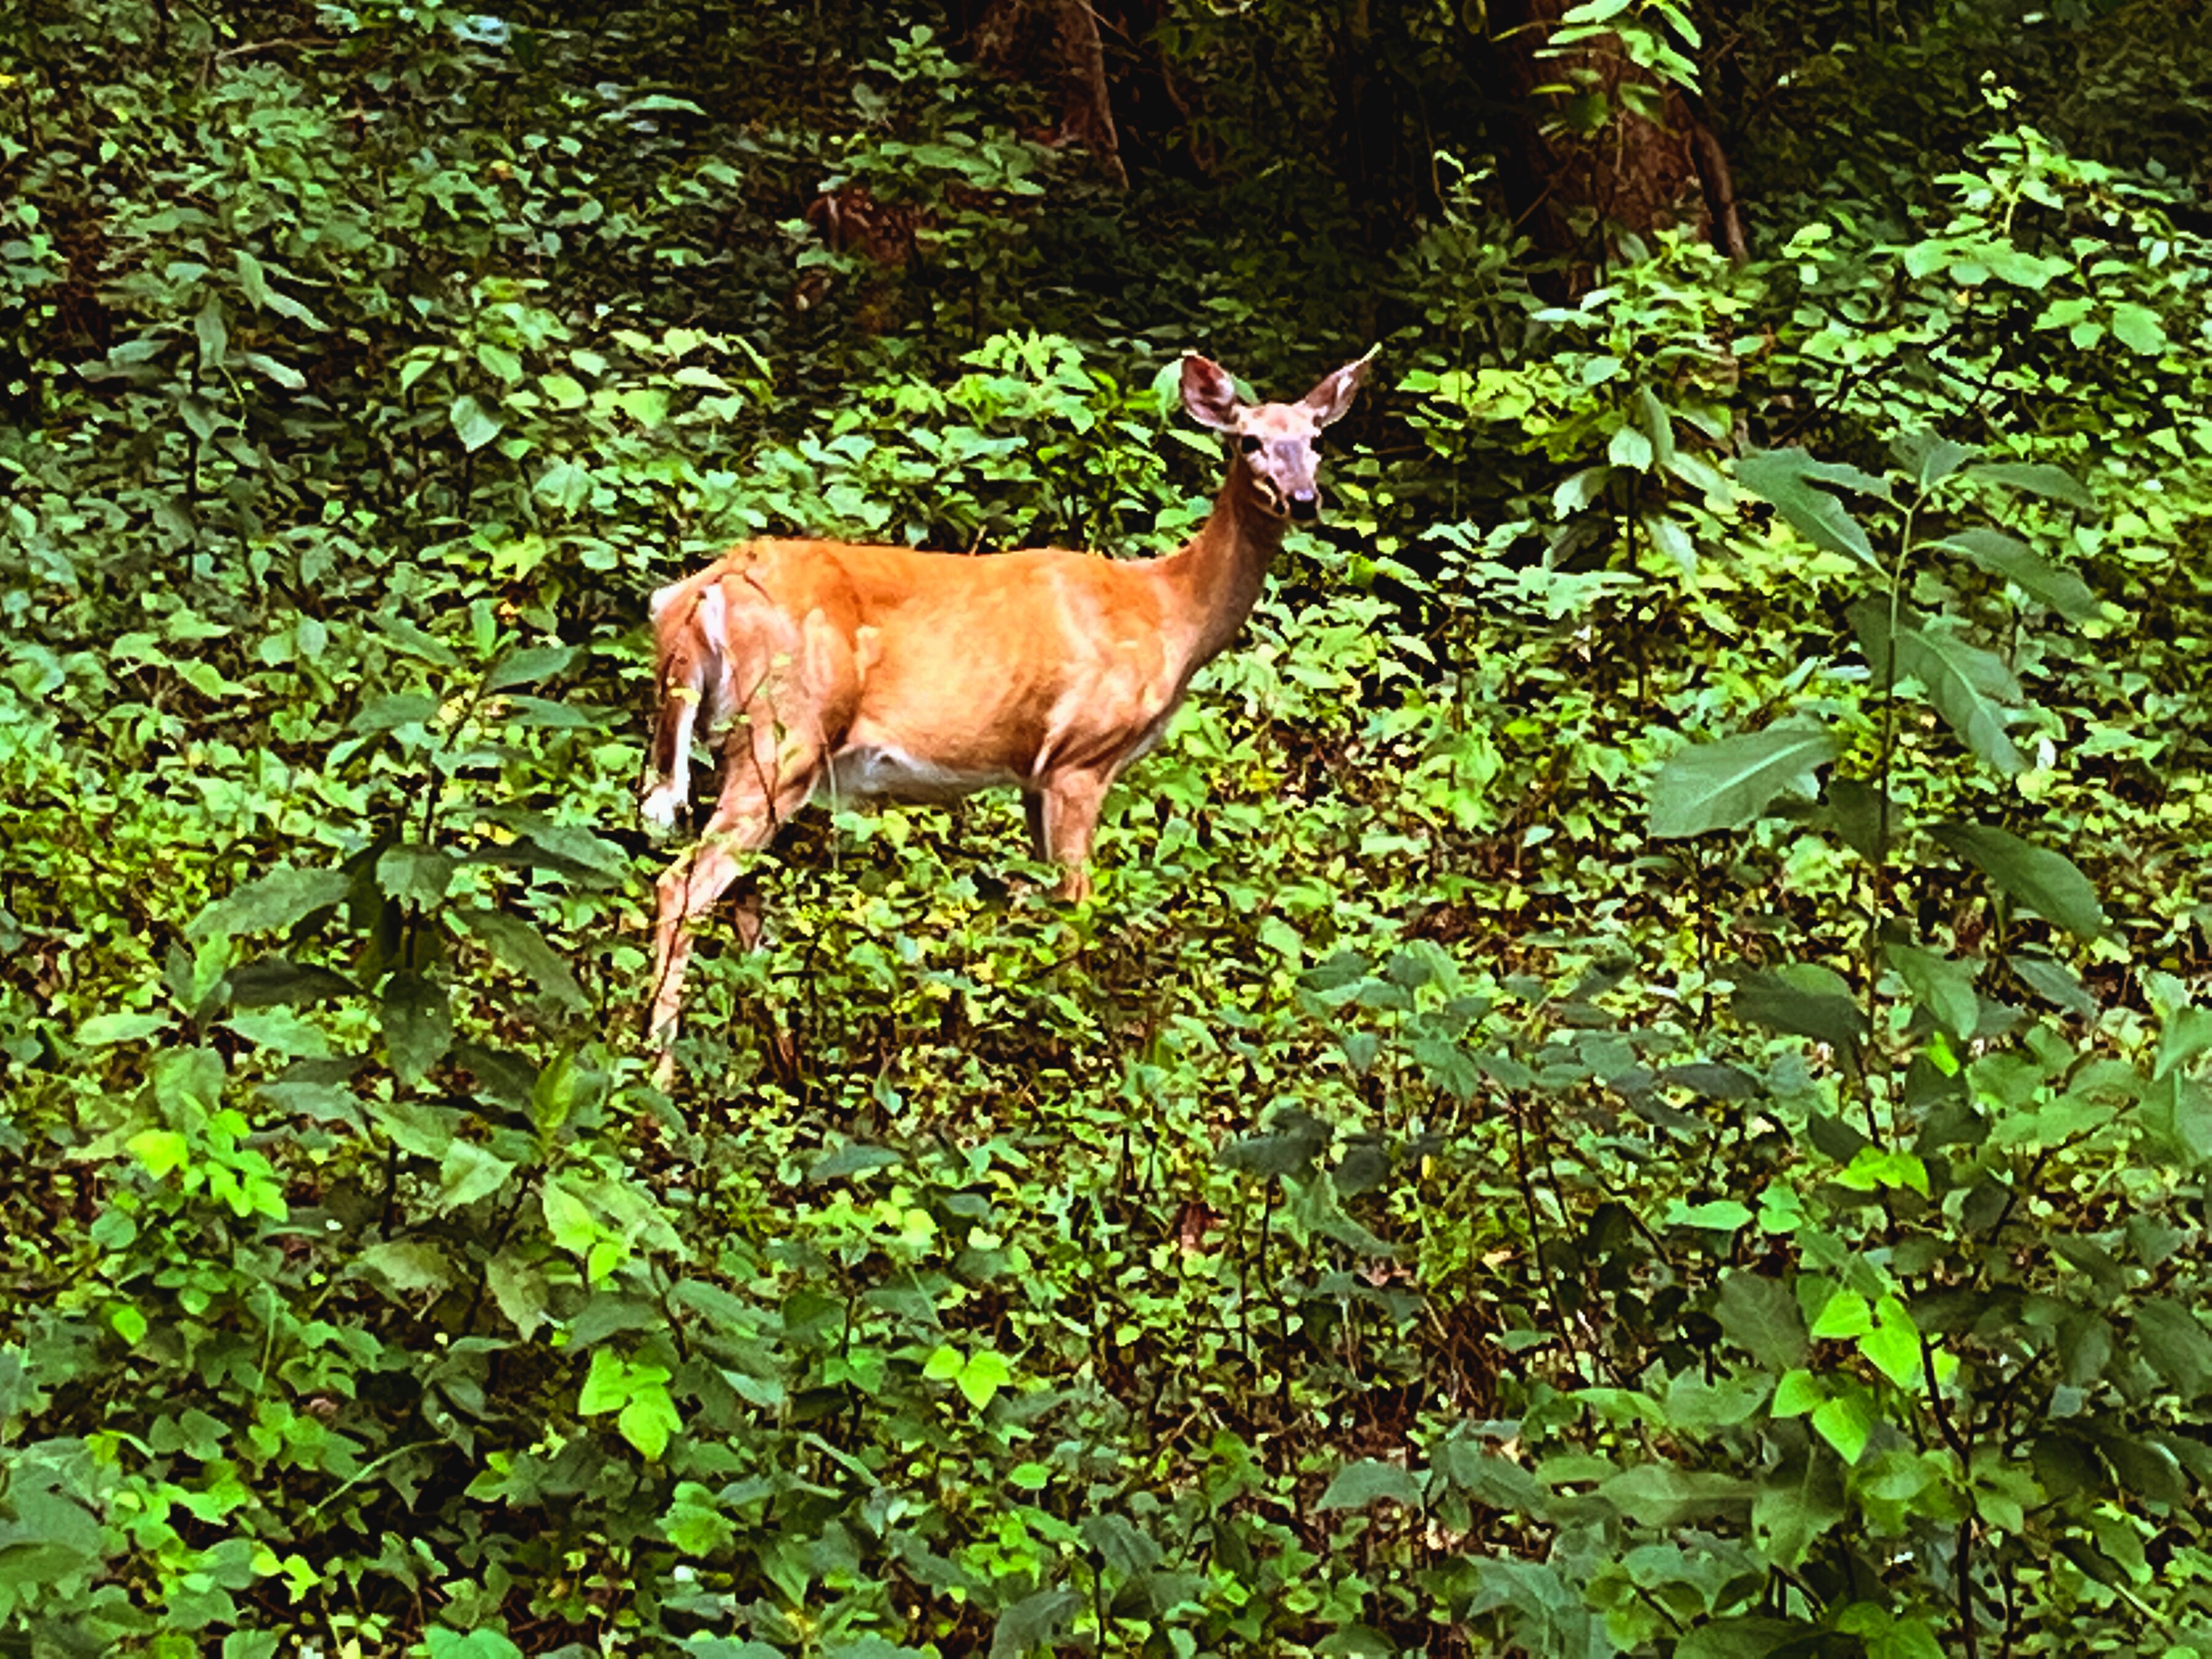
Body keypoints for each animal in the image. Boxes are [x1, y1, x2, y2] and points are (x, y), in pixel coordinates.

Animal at [640, 349, 1372, 1079]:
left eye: (1316, 440)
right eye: (1249, 441)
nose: (1304, 500)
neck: (1168, 612)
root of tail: (700, 591)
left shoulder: (1032, 773)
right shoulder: (1082, 757)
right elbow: (1076, 908)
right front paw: (1076, 1052)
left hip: (734, 744)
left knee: (739, 895)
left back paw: (773, 1059)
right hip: (785, 730)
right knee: (683, 885)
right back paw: (659, 1067)